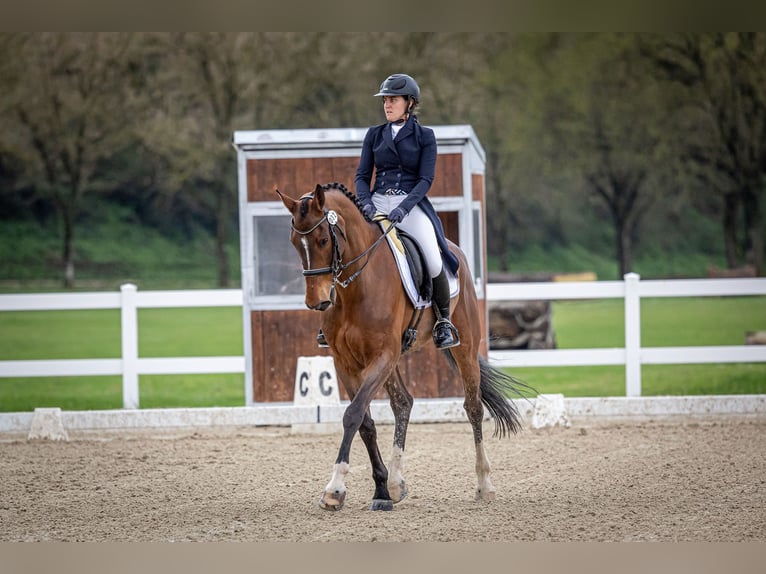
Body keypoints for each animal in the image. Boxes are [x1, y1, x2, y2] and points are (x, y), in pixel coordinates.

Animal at [277, 182, 530, 511]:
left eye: (322, 240)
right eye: (295, 242)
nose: (316, 301)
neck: (356, 287)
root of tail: (455, 250)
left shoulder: (383, 355)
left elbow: (353, 414)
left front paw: (335, 489)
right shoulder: (346, 362)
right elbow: (365, 422)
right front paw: (380, 490)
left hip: (463, 347)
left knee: (473, 407)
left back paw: (484, 485)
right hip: (393, 360)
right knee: (403, 403)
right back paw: (396, 484)